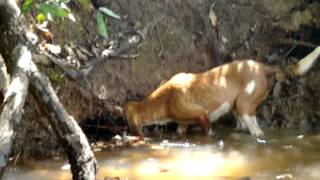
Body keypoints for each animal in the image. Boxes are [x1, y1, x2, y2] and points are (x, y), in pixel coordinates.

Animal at [119, 46, 320, 136]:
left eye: (126, 121)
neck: (165, 98)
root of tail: (263, 66)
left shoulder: (202, 117)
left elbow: (208, 132)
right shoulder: (182, 124)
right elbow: (180, 130)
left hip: (245, 107)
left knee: (257, 132)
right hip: (237, 109)